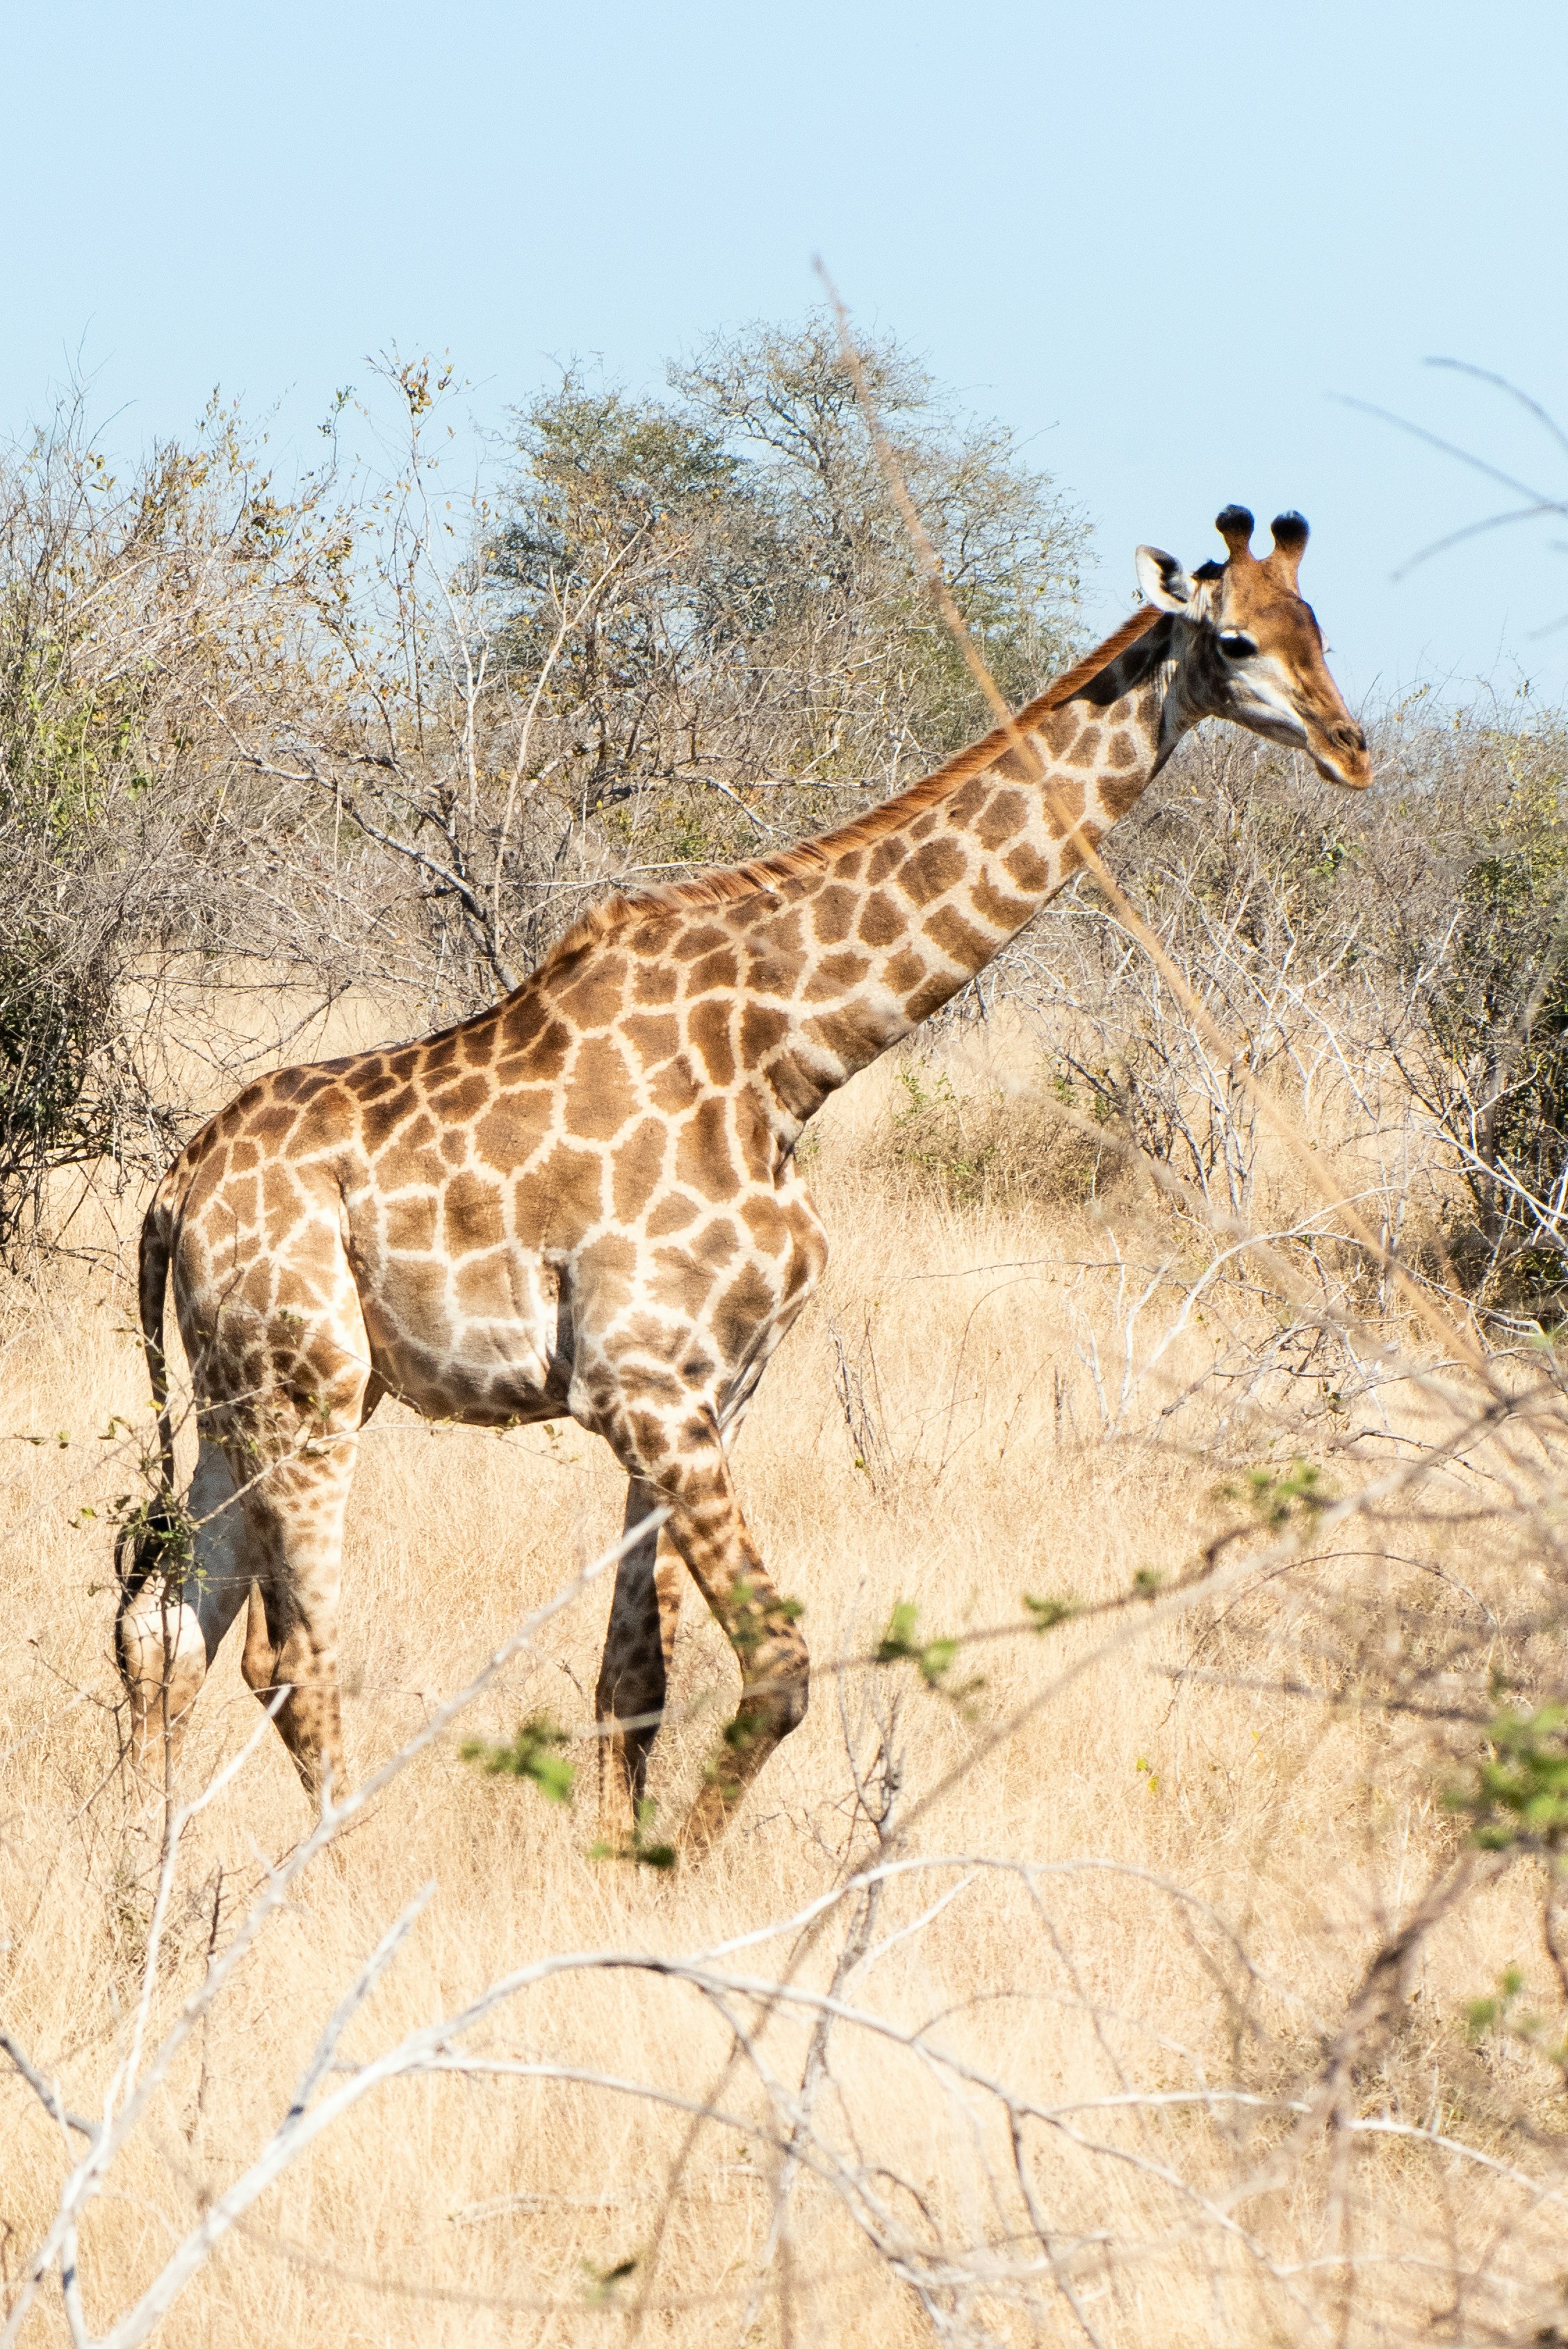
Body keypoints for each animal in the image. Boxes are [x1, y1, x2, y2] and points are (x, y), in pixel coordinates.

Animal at [117, 506, 1370, 1861]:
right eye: (1237, 640)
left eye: (1321, 629)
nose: (1351, 750)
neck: (788, 1054)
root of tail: (177, 1186)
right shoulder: (644, 1385)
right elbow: (777, 1665)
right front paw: (672, 1876)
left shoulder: (707, 1392)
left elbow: (636, 1677)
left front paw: (614, 1870)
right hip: (304, 1390)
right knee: (286, 1655)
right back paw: (333, 1875)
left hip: (249, 1394)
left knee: (164, 1625)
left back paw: (135, 1868)